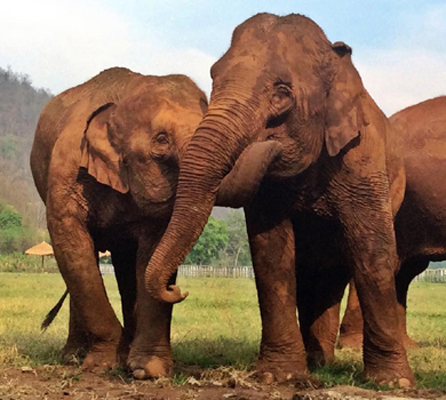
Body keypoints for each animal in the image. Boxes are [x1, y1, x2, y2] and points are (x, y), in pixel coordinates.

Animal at [142, 14, 414, 386]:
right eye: (213, 76)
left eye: (282, 92)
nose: (178, 290)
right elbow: (272, 252)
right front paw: (278, 376)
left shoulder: (363, 162)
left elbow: (373, 251)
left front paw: (393, 382)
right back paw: (317, 362)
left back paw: (324, 361)